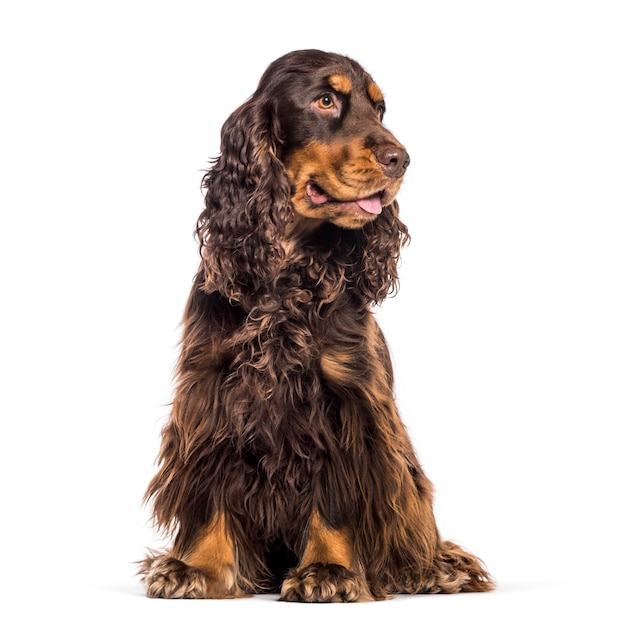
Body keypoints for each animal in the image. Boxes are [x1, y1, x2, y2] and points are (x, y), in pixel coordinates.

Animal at [140, 50, 492, 600]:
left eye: (380, 108)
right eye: (325, 100)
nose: (400, 159)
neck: (284, 266)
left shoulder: (345, 400)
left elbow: (334, 494)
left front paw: (328, 570)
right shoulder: (213, 390)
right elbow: (213, 483)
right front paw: (196, 566)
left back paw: (433, 568)